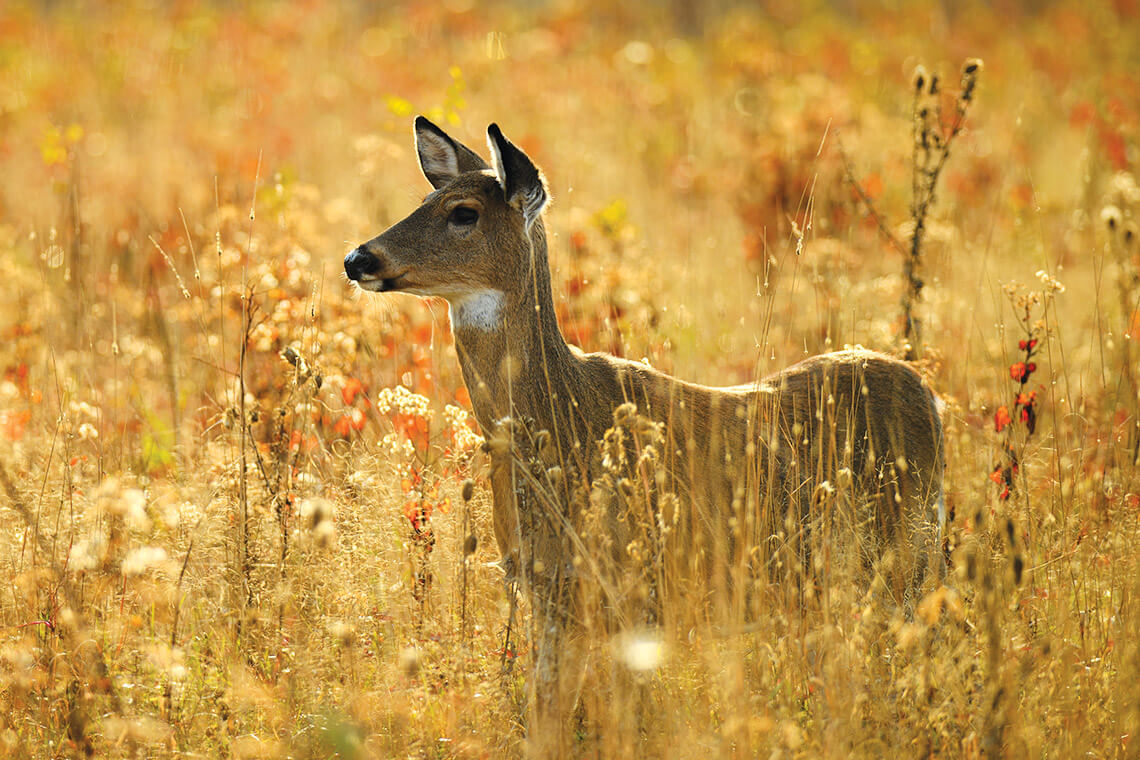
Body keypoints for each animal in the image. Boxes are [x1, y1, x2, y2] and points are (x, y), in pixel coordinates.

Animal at [344, 116, 945, 738]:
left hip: (904, 556)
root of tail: (929, 394)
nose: (357, 258)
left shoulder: (633, 589)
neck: (563, 422)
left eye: (463, 212)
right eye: (423, 200)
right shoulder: (549, 590)